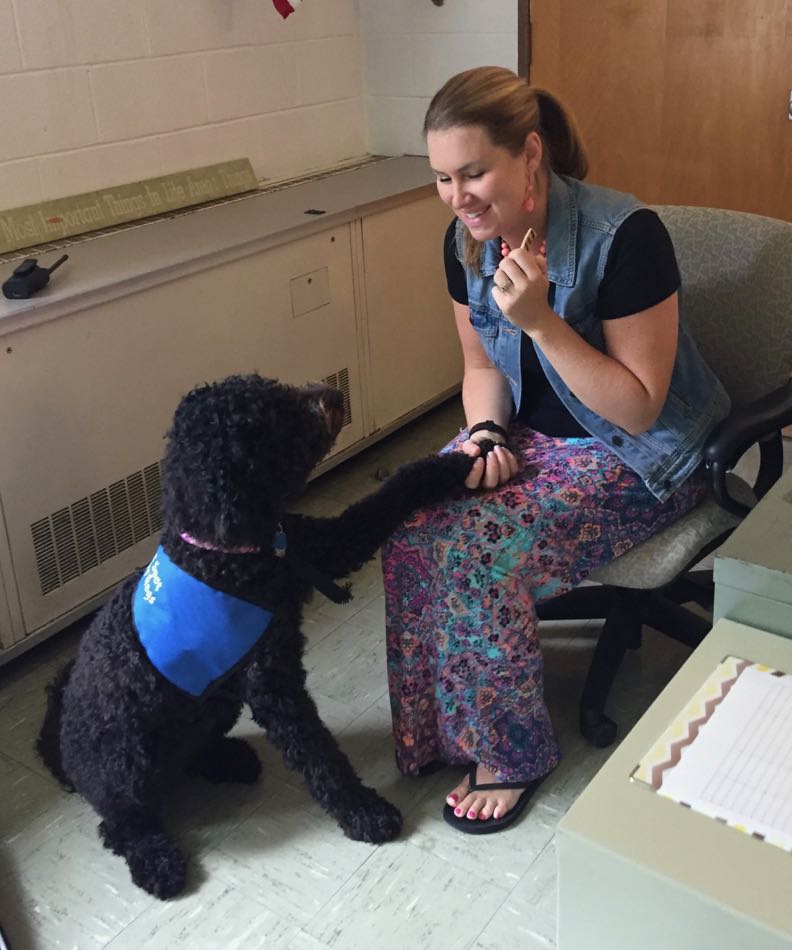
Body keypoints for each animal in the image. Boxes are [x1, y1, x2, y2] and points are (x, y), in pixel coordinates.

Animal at [35, 372, 470, 900]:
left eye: (274, 389)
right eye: (272, 422)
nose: (332, 393)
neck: (222, 551)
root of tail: (58, 747)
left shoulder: (322, 547)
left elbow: (387, 496)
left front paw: (460, 461)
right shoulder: (274, 687)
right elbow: (318, 755)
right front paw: (364, 812)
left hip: (213, 705)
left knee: (185, 760)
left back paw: (229, 759)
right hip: (125, 759)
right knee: (122, 821)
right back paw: (157, 862)